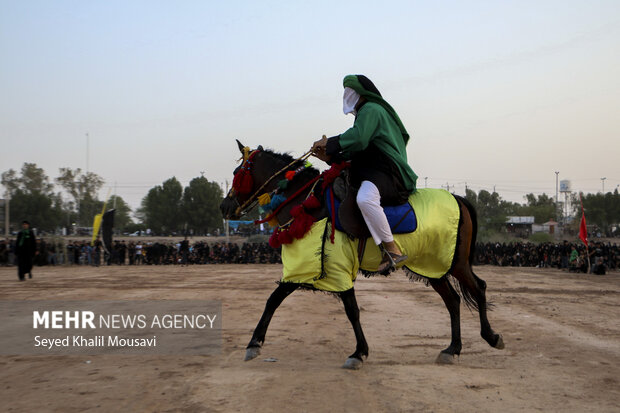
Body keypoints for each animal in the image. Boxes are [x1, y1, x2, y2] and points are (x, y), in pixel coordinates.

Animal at [219, 140, 504, 368]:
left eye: (236, 173)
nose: (224, 206)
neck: (309, 205)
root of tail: (459, 199)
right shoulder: (308, 269)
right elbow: (276, 299)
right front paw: (254, 343)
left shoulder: (335, 266)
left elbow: (348, 309)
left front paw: (358, 352)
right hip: (432, 266)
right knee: (453, 300)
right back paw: (452, 349)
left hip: (455, 263)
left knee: (478, 287)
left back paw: (491, 336)